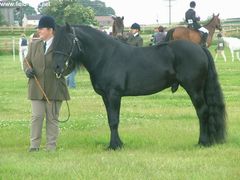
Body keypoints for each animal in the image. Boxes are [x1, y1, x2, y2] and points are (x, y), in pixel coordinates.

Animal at [51, 24, 226, 150]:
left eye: (67, 41)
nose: (57, 67)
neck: (106, 56)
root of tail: (200, 48)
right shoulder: (106, 97)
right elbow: (110, 120)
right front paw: (117, 144)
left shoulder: (114, 95)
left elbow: (114, 120)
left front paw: (115, 146)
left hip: (194, 89)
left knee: (203, 112)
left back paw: (203, 142)